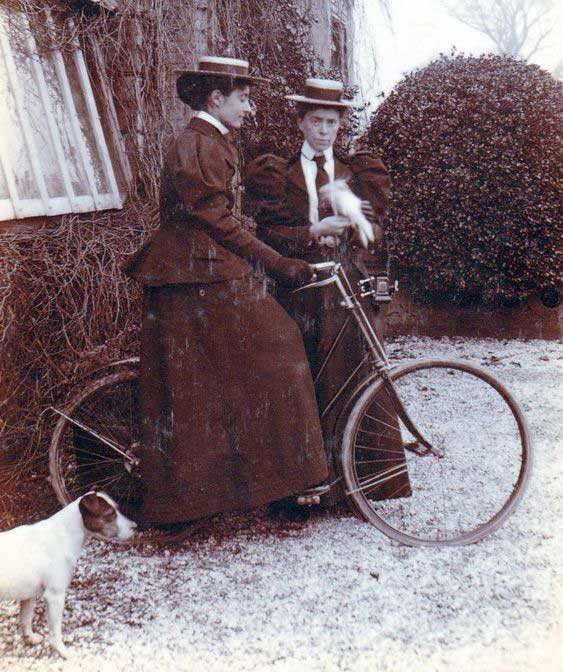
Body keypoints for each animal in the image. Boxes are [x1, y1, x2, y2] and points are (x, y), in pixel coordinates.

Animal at [0, 490, 135, 660]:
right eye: (110, 513)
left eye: (117, 508)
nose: (136, 527)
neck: (63, 535)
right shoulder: (55, 596)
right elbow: (55, 633)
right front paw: (64, 652)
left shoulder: (29, 595)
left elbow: (25, 619)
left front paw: (30, 638)